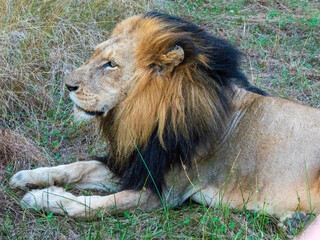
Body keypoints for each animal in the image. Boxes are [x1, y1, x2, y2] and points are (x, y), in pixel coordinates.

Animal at [8, 12, 320, 220]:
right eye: (95, 55)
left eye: (111, 65)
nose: (68, 85)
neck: (144, 115)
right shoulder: (138, 164)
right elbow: (78, 167)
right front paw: (28, 176)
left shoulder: (165, 193)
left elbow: (93, 205)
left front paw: (42, 198)